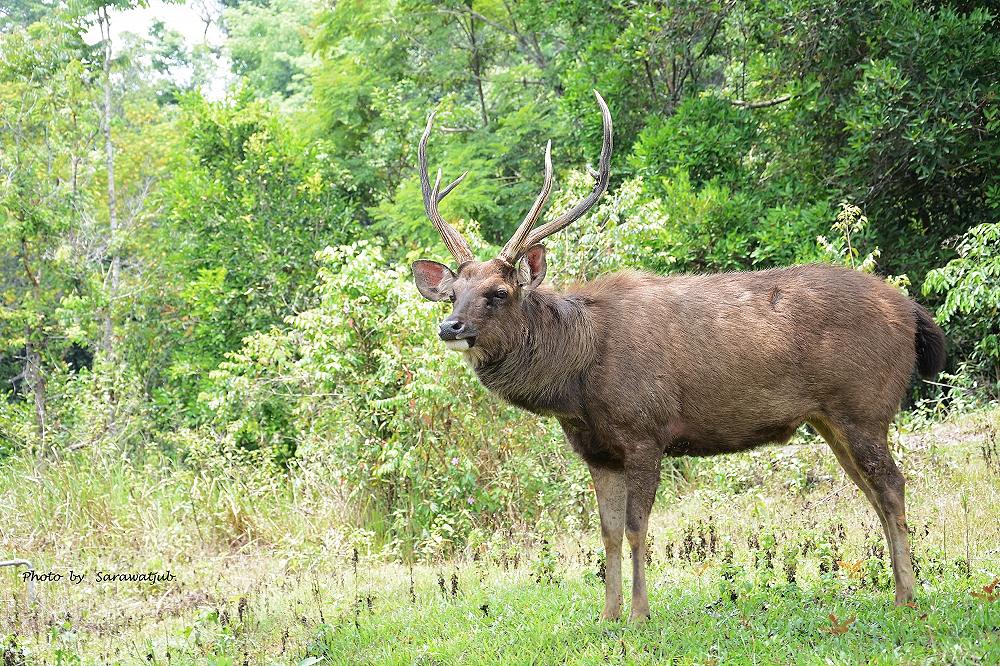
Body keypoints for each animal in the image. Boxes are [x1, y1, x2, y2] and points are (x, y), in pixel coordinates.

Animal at [408, 91, 944, 620]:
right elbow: (606, 533)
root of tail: (913, 311)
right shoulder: (597, 451)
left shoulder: (646, 431)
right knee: (874, 491)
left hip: (864, 406)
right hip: (832, 419)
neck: (577, 380)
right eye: (452, 293)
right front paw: (608, 617)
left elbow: (636, 527)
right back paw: (899, 591)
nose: (450, 327)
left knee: (892, 486)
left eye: (498, 292)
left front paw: (641, 615)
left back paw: (908, 598)